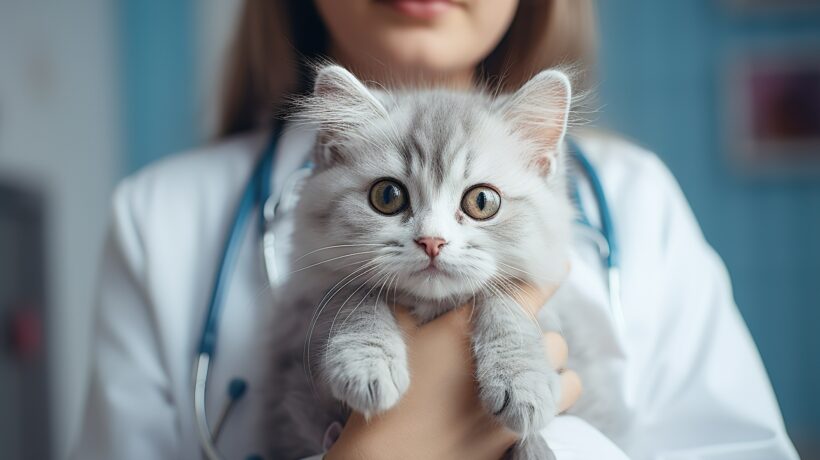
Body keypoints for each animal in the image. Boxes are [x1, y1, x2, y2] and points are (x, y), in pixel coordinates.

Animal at [266, 65, 572, 460]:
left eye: (482, 201)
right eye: (387, 196)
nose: (432, 241)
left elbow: (504, 302)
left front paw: (523, 381)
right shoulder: (305, 313)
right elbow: (355, 297)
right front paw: (367, 364)